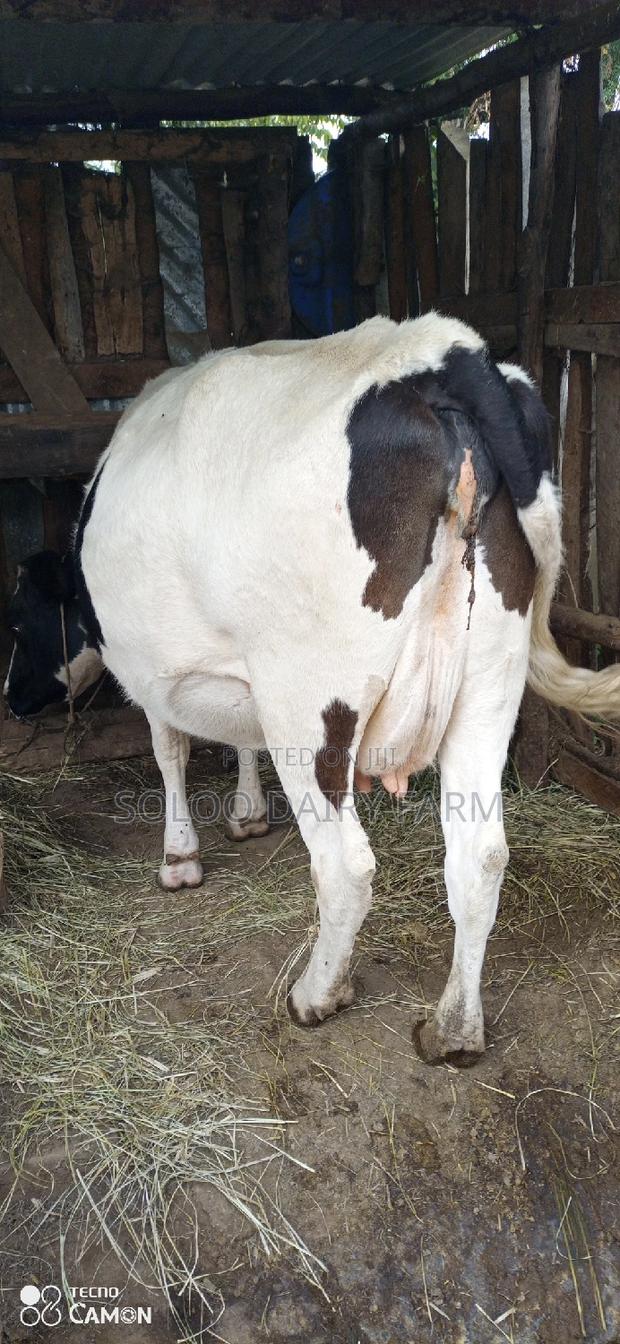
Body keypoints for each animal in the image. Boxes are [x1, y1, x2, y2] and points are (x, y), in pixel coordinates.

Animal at [5, 314, 620, 1064]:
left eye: (18, 618)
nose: (10, 700)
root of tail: (442, 351)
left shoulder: (153, 671)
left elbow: (170, 752)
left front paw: (180, 857)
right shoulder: (239, 671)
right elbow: (237, 741)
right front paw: (246, 812)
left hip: (310, 701)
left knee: (346, 868)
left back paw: (317, 993)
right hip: (488, 684)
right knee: (480, 857)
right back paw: (453, 1029)